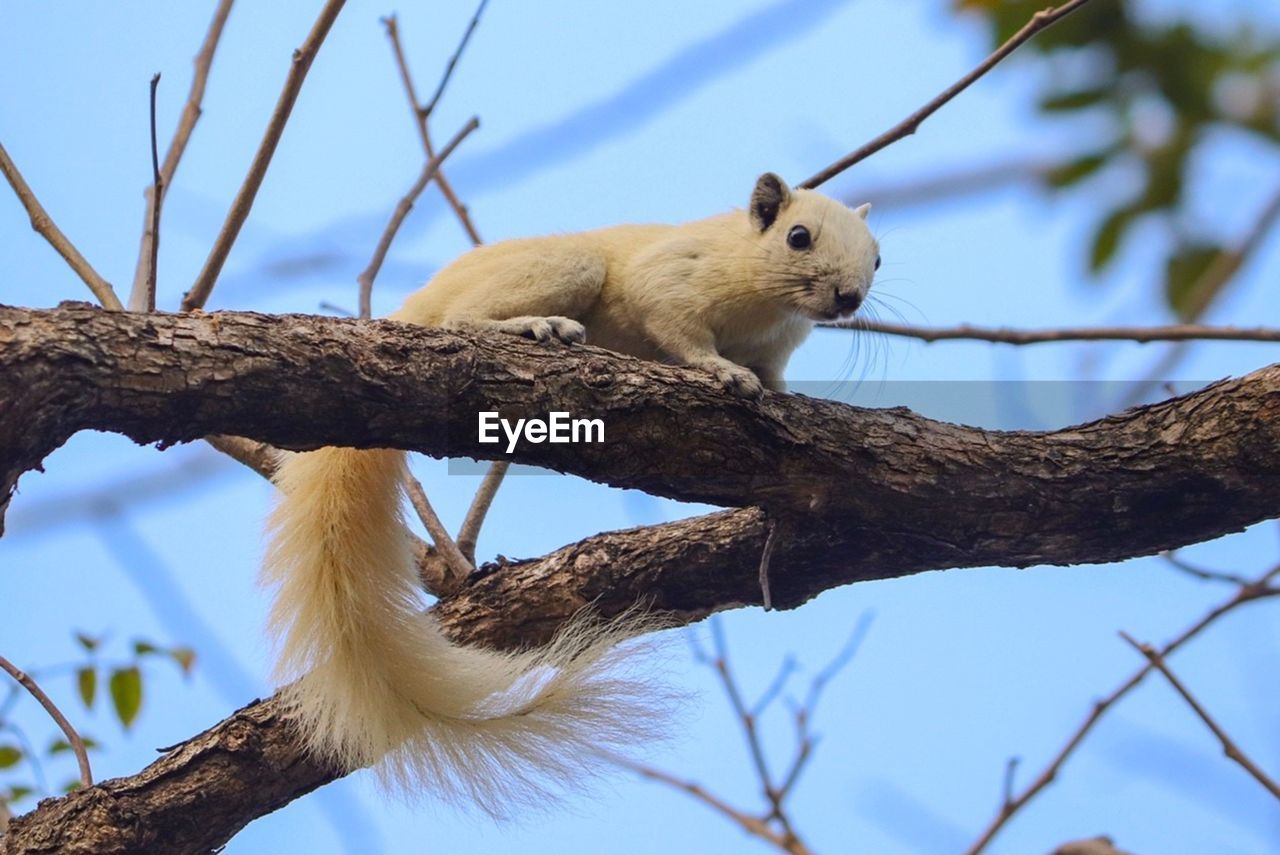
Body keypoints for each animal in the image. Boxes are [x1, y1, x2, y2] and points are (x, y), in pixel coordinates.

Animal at [259, 174, 880, 814]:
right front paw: (724, 372)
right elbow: (683, 333)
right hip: (565, 266)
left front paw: (783, 395)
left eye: (878, 257)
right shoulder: (672, 281)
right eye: (798, 237)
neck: (765, 299)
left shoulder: (777, 346)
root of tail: (418, 304)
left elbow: (775, 376)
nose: (849, 298)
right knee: (459, 320)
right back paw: (536, 327)